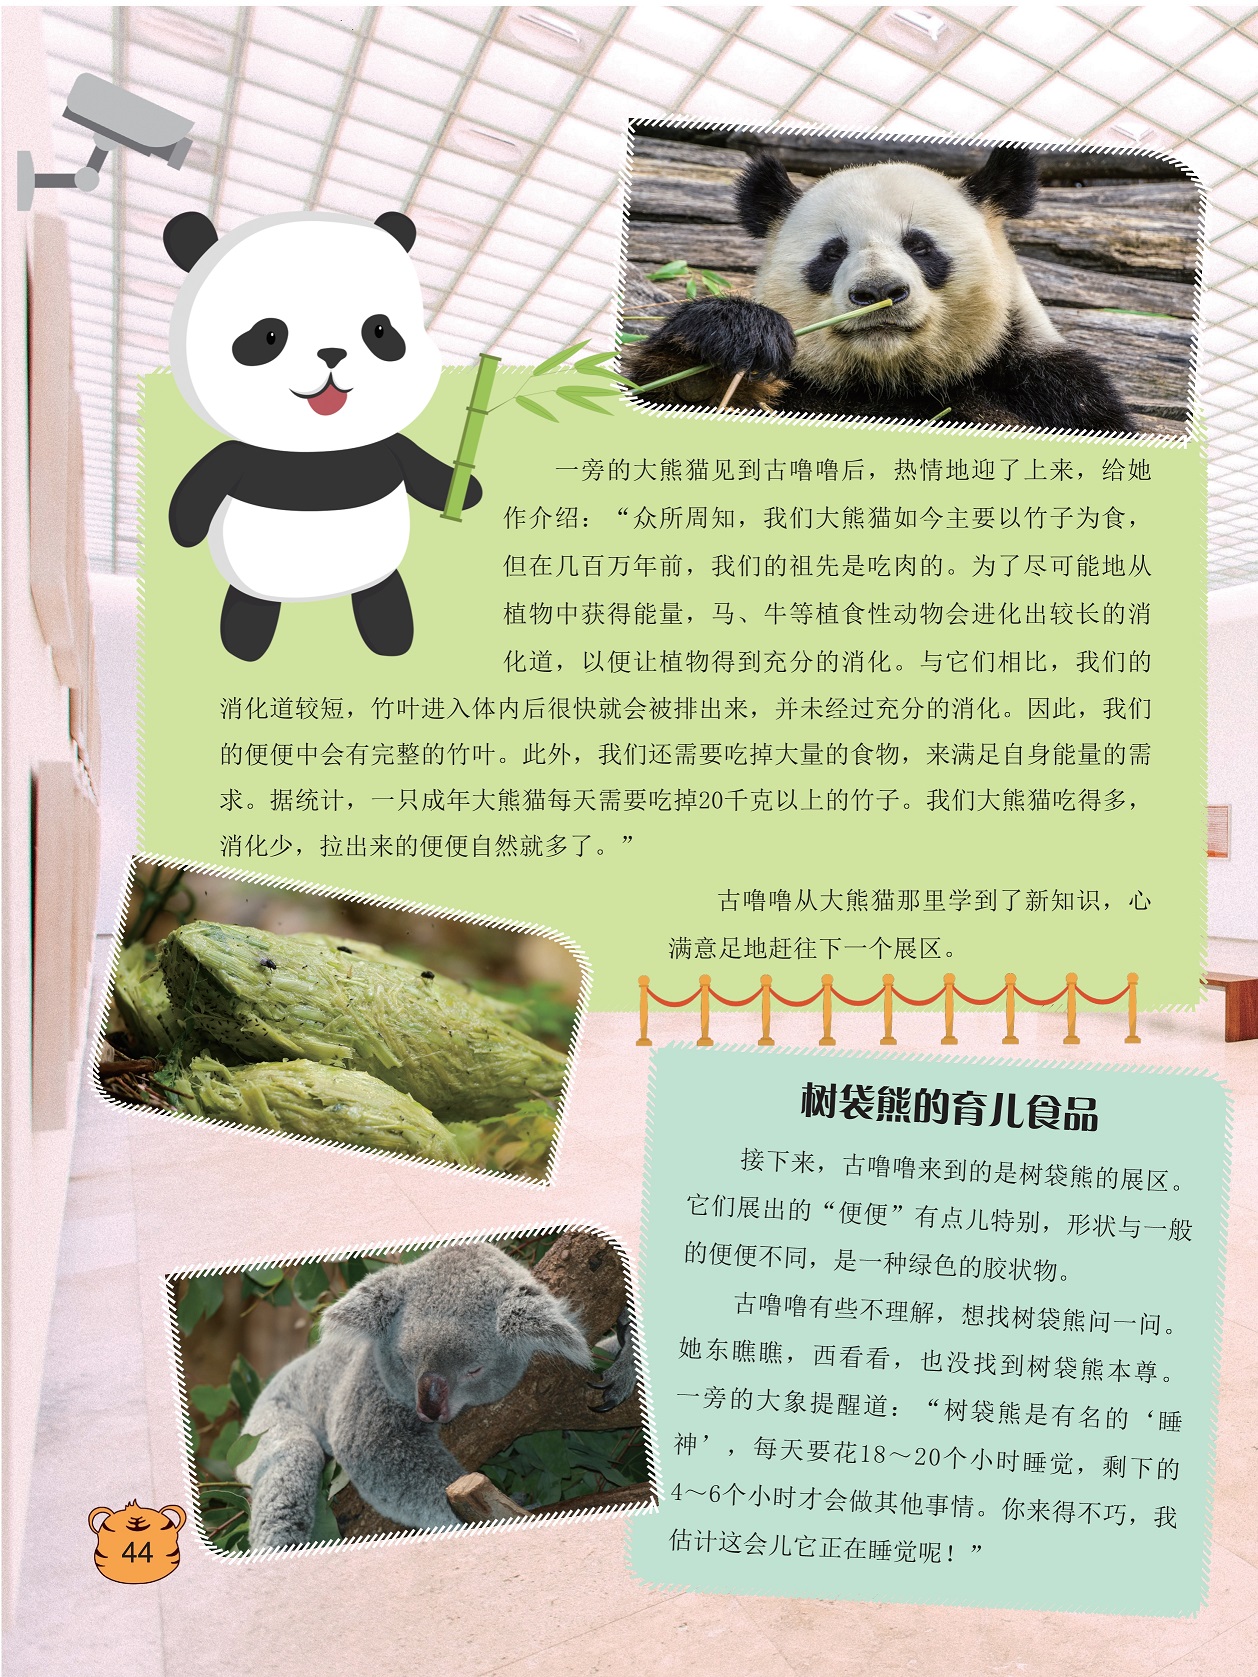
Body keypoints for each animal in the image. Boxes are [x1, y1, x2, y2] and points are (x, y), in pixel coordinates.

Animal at [163, 208, 480, 661]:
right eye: (269, 336)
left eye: (379, 330)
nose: (332, 353)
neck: (321, 449)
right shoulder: (241, 457)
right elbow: (201, 487)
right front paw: (183, 533)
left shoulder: (386, 449)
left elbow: (428, 474)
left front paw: (467, 489)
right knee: (250, 602)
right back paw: (244, 642)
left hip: (377, 572)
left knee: (381, 593)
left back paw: (391, 635)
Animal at [626, 145, 1138, 435]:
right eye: (832, 253)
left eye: (920, 245)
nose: (878, 292)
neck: (887, 380)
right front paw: (736, 337)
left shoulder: (1048, 388)